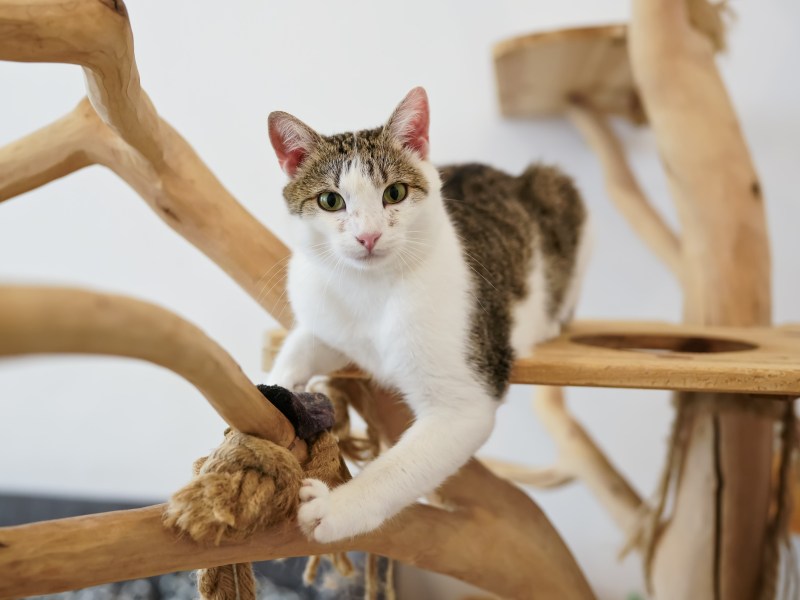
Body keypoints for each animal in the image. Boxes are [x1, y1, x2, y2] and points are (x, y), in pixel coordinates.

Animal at [268, 86, 588, 540]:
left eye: (394, 193)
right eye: (330, 201)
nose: (368, 236)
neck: (371, 289)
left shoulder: (464, 403)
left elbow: (398, 469)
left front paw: (336, 506)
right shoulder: (325, 316)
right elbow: (300, 346)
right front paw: (275, 387)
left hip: (558, 190)